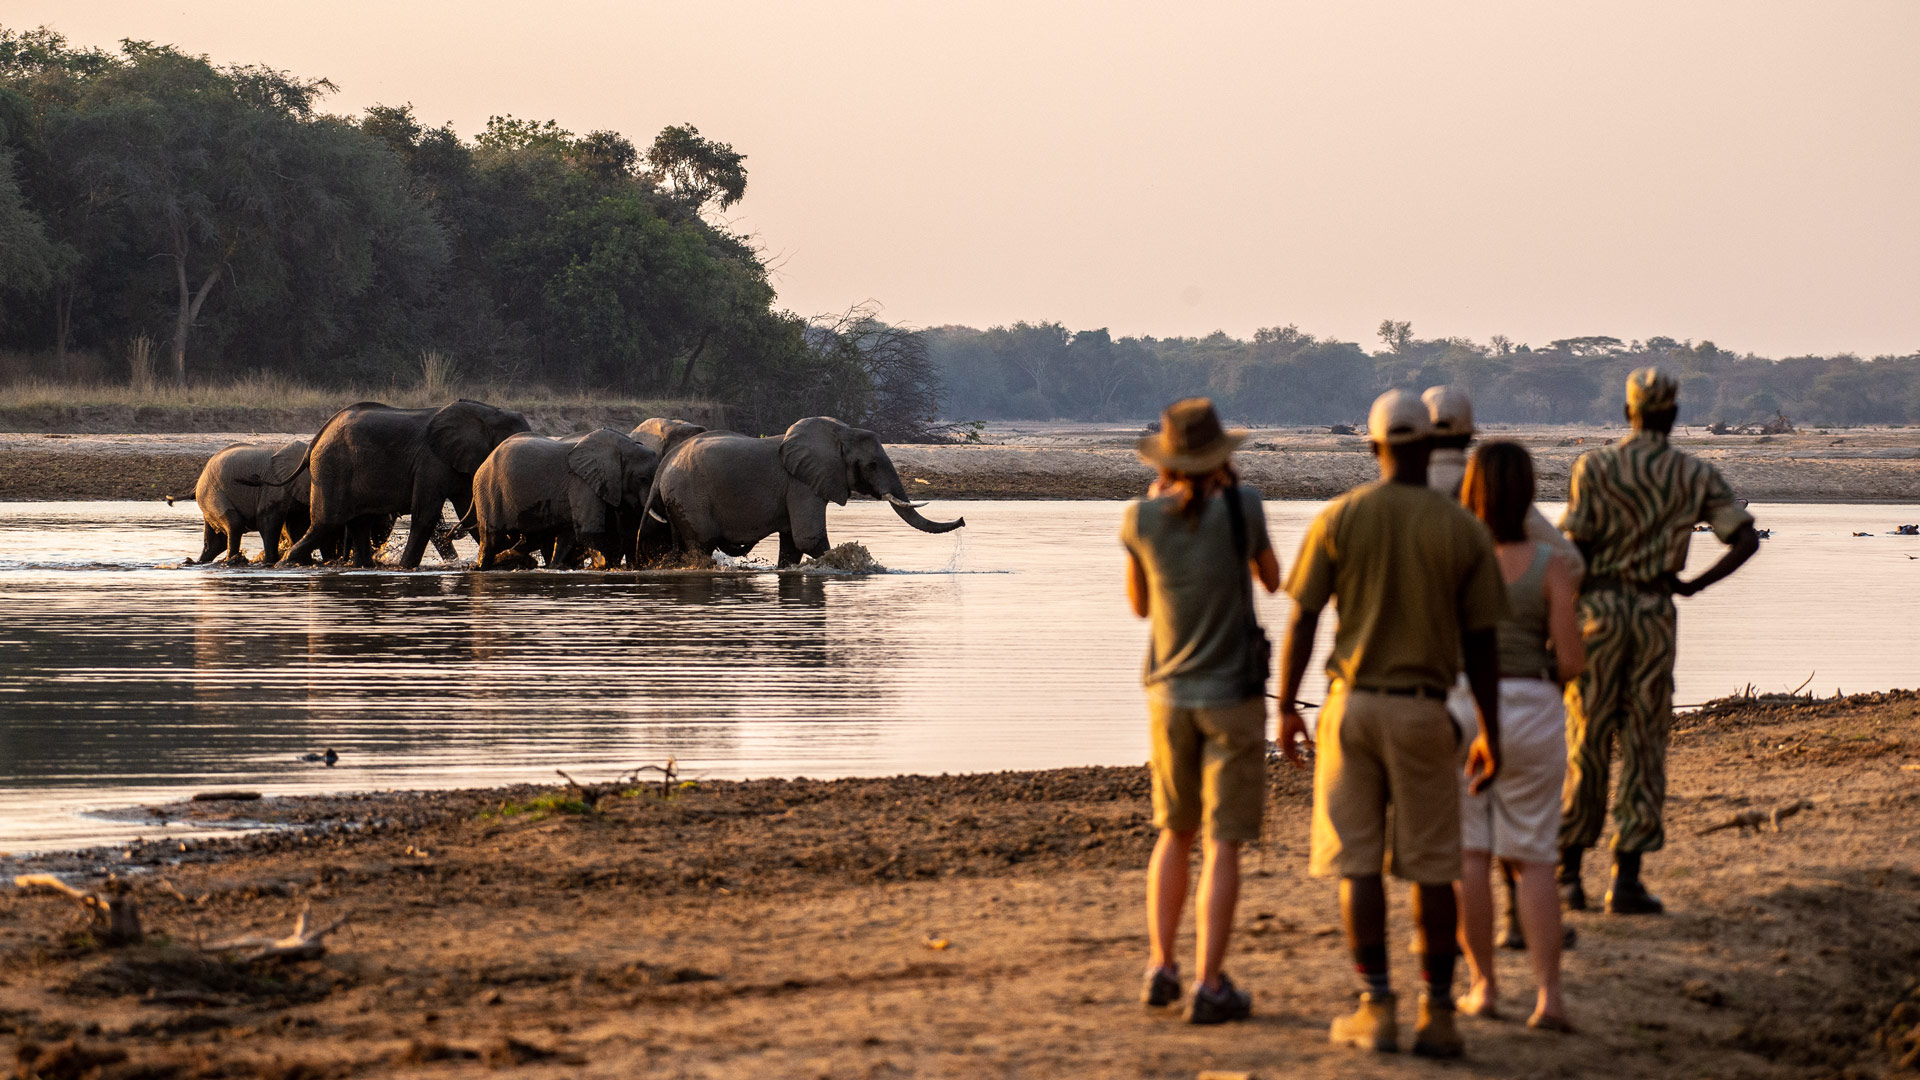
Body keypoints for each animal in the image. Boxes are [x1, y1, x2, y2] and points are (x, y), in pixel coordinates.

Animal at [259, 395, 533, 564]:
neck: (488, 411)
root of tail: (316, 438)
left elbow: (472, 514)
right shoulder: (431, 461)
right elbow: (426, 515)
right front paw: (405, 568)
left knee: (358, 524)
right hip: (331, 467)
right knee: (326, 523)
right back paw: (285, 563)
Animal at [470, 426, 660, 572]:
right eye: (643, 479)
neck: (622, 445)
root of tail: (484, 462)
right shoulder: (582, 482)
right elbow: (588, 530)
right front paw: (601, 565)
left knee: (537, 537)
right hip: (488, 490)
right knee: (492, 537)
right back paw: (480, 567)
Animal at [648, 413, 960, 568]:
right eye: (872, 465)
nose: (962, 520)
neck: (840, 433)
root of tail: (665, 466)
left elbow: (791, 546)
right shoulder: (802, 485)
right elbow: (808, 539)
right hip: (691, 497)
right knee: (701, 545)